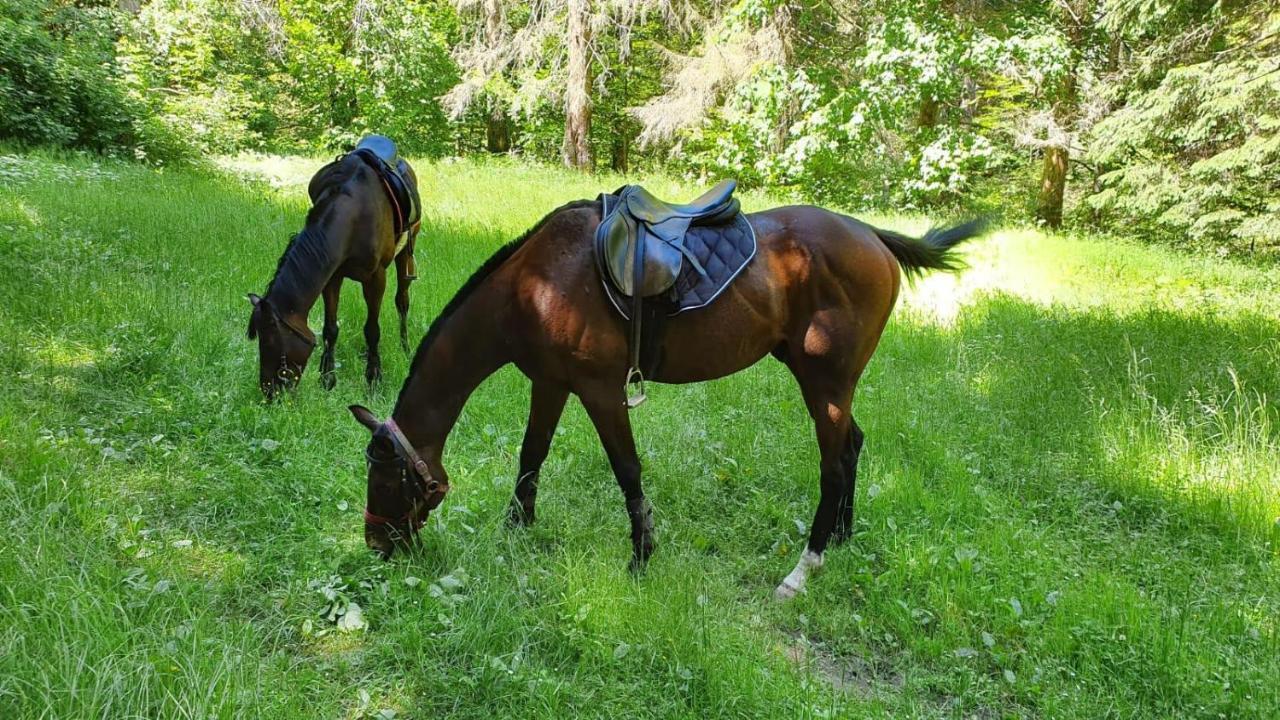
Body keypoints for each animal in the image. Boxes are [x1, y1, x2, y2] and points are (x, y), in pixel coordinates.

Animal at [249, 140, 424, 397]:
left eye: (270, 341)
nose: (269, 392)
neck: (353, 215)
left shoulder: (376, 278)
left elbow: (372, 329)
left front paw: (374, 380)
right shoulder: (332, 276)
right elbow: (330, 329)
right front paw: (327, 379)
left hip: (406, 253)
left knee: (402, 301)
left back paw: (405, 348)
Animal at [348, 194, 977, 594]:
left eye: (385, 477)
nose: (376, 545)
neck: (533, 287)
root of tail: (872, 235)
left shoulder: (600, 391)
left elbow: (627, 470)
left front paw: (642, 555)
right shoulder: (550, 382)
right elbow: (532, 456)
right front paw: (516, 531)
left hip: (824, 382)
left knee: (834, 463)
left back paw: (806, 565)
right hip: (830, 384)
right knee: (851, 446)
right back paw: (841, 541)